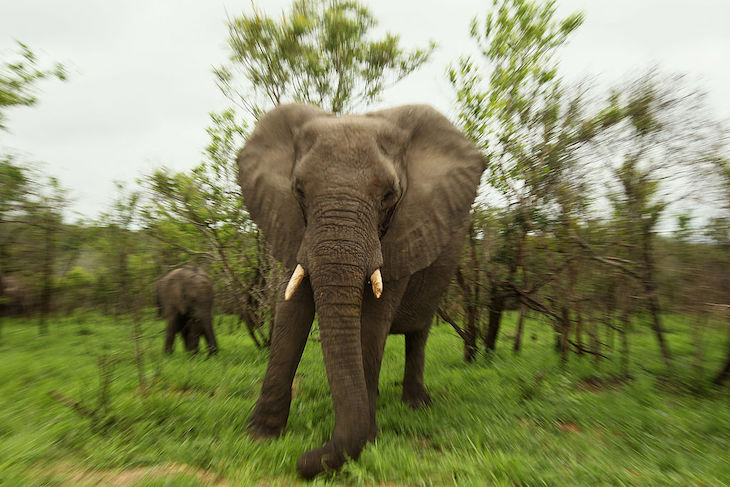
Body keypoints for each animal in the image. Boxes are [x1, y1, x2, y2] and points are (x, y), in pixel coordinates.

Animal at [237, 103, 485, 478]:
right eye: (299, 192)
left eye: (389, 196)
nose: (302, 459)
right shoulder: (293, 227)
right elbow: (290, 316)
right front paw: (259, 437)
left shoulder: (406, 231)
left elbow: (371, 323)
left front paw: (367, 440)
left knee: (418, 334)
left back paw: (416, 405)